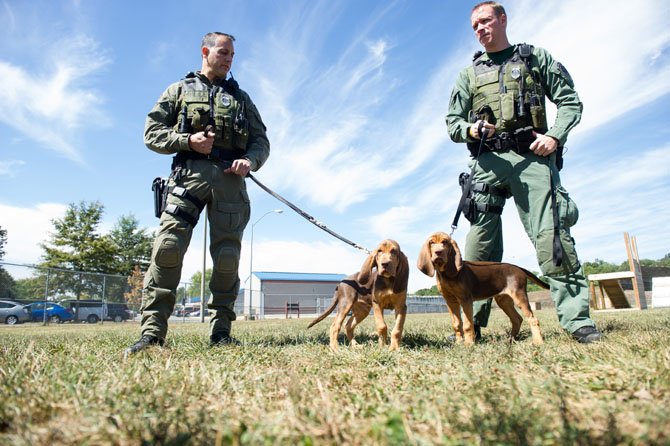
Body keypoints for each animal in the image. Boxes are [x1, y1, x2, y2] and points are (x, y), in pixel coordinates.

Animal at [418, 232, 548, 346]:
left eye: (445, 242)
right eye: (431, 242)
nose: (438, 252)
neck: (446, 274)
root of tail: (518, 267)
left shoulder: (465, 299)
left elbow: (467, 325)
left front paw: (468, 344)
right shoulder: (450, 301)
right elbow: (456, 324)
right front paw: (459, 343)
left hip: (519, 296)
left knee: (533, 319)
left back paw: (537, 342)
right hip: (503, 301)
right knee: (517, 319)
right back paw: (510, 340)